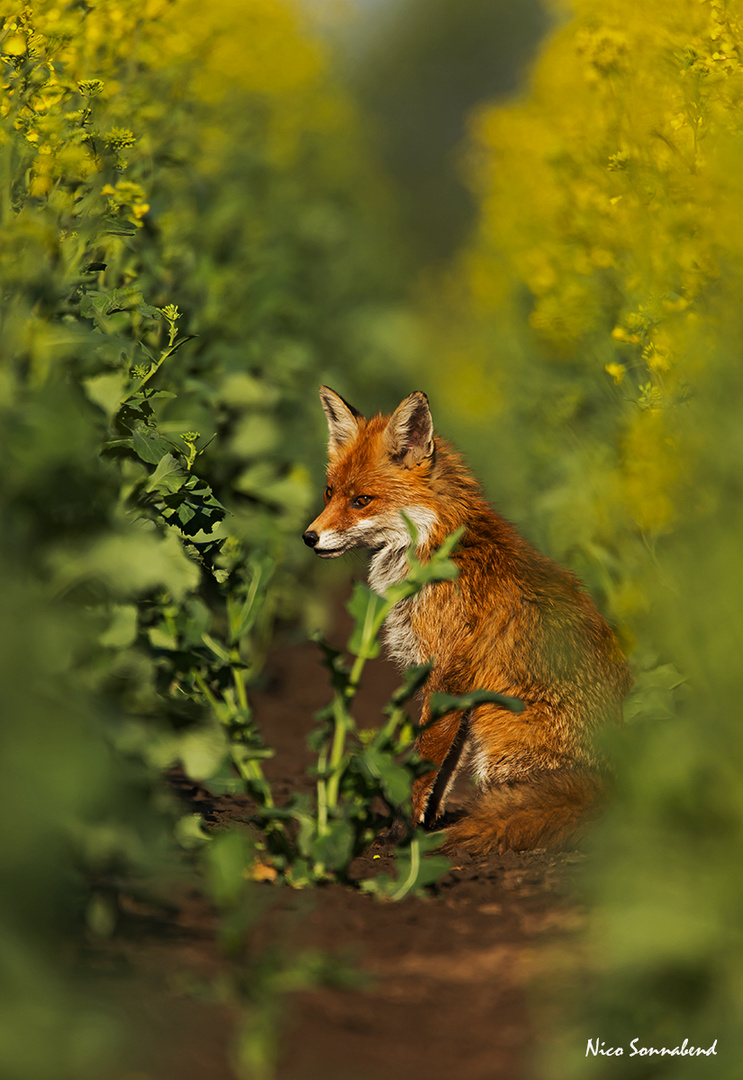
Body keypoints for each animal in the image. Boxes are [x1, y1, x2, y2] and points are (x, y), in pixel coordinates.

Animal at [302, 386, 630, 851]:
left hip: (497, 731)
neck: (436, 548)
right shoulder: (455, 691)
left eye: (361, 500)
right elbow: (443, 772)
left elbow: (424, 762)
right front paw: (422, 824)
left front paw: (403, 834)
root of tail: (612, 789)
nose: (309, 537)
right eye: (329, 493)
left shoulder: (448, 674)